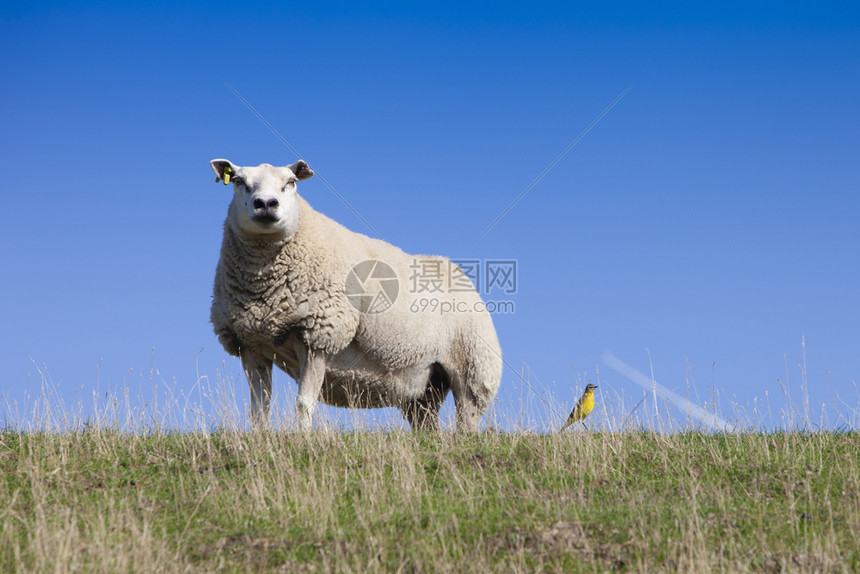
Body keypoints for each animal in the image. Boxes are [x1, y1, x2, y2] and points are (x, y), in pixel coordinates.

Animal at [210, 159, 504, 432]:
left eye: (291, 182)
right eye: (238, 181)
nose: (266, 204)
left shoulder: (319, 336)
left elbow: (304, 402)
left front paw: (302, 438)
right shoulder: (250, 344)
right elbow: (259, 408)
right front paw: (260, 438)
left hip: (473, 368)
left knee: (467, 417)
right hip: (424, 385)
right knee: (427, 423)